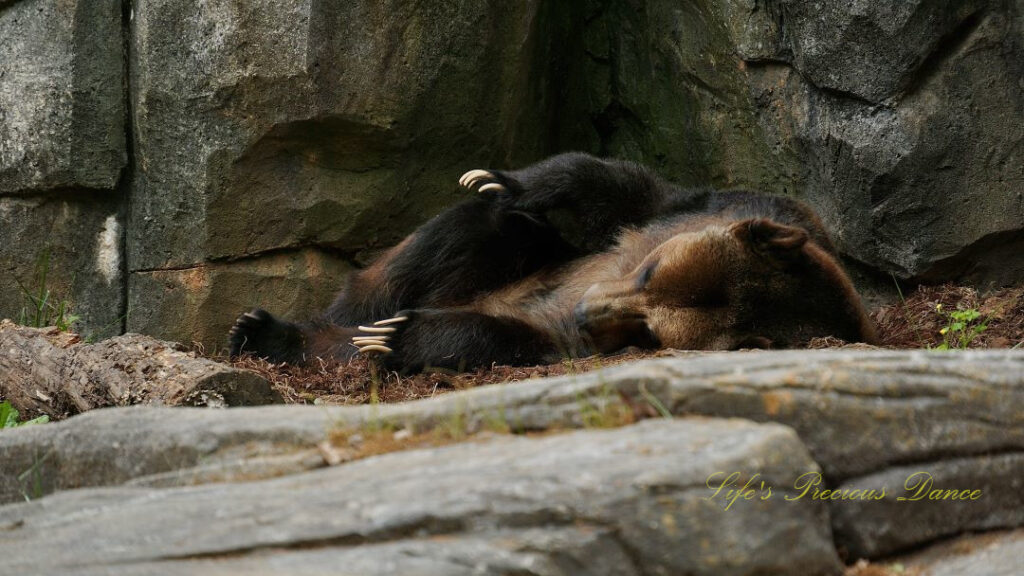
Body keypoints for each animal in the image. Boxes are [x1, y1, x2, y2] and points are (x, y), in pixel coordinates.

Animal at [228, 150, 876, 368]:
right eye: (649, 269)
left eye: (650, 331)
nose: (588, 310)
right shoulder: (708, 208)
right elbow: (615, 187)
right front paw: (498, 179)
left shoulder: (565, 341)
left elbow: (504, 337)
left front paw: (396, 338)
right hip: (498, 263)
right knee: (471, 232)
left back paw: (290, 335)